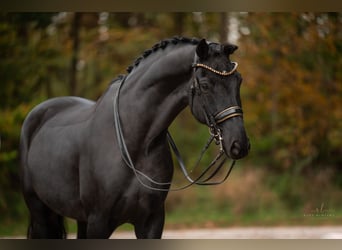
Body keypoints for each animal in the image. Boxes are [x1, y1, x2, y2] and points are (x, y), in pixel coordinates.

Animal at [20, 36, 250, 238]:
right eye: (205, 85)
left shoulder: (151, 221)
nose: (239, 144)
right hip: (41, 212)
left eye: (238, 80)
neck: (135, 142)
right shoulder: (98, 222)